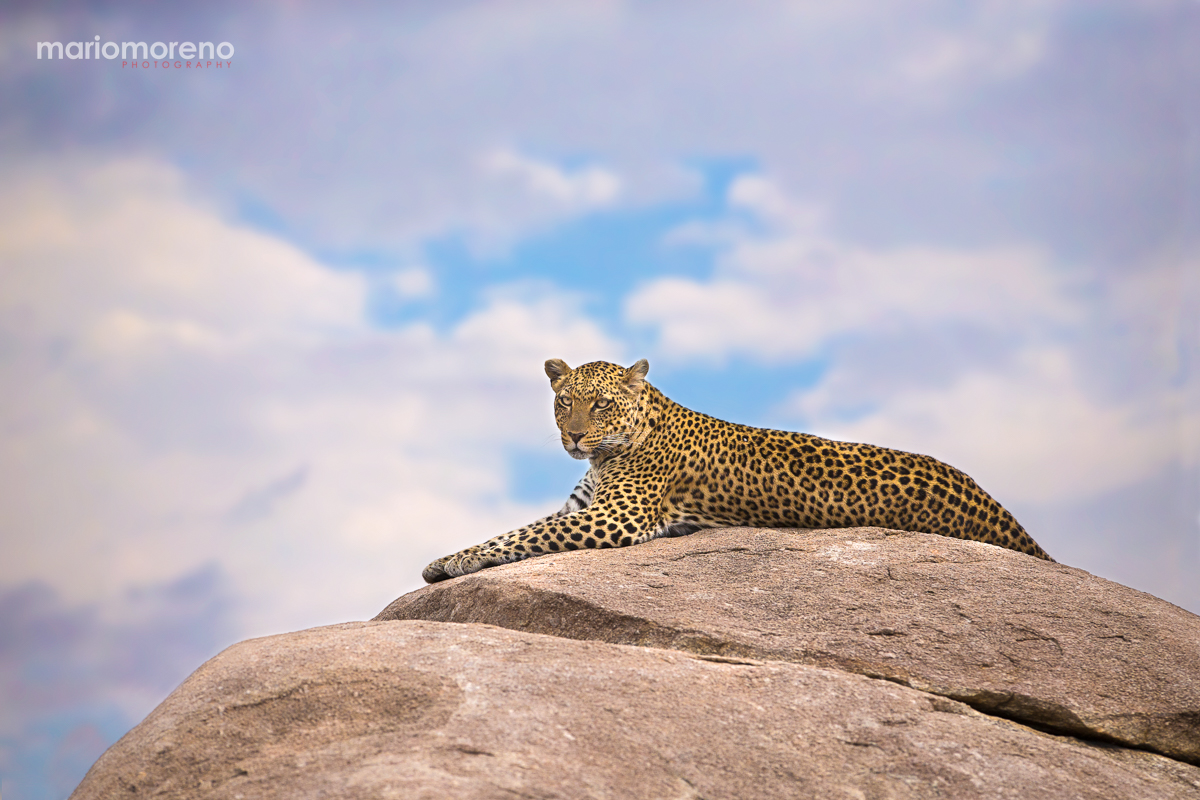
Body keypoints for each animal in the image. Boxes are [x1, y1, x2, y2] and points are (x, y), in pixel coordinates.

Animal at [422, 358, 1053, 582]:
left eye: (600, 405)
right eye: (563, 402)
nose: (574, 436)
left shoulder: (616, 516)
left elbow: (522, 535)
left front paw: (455, 562)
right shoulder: (583, 506)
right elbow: (520, 529)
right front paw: (448, 558)